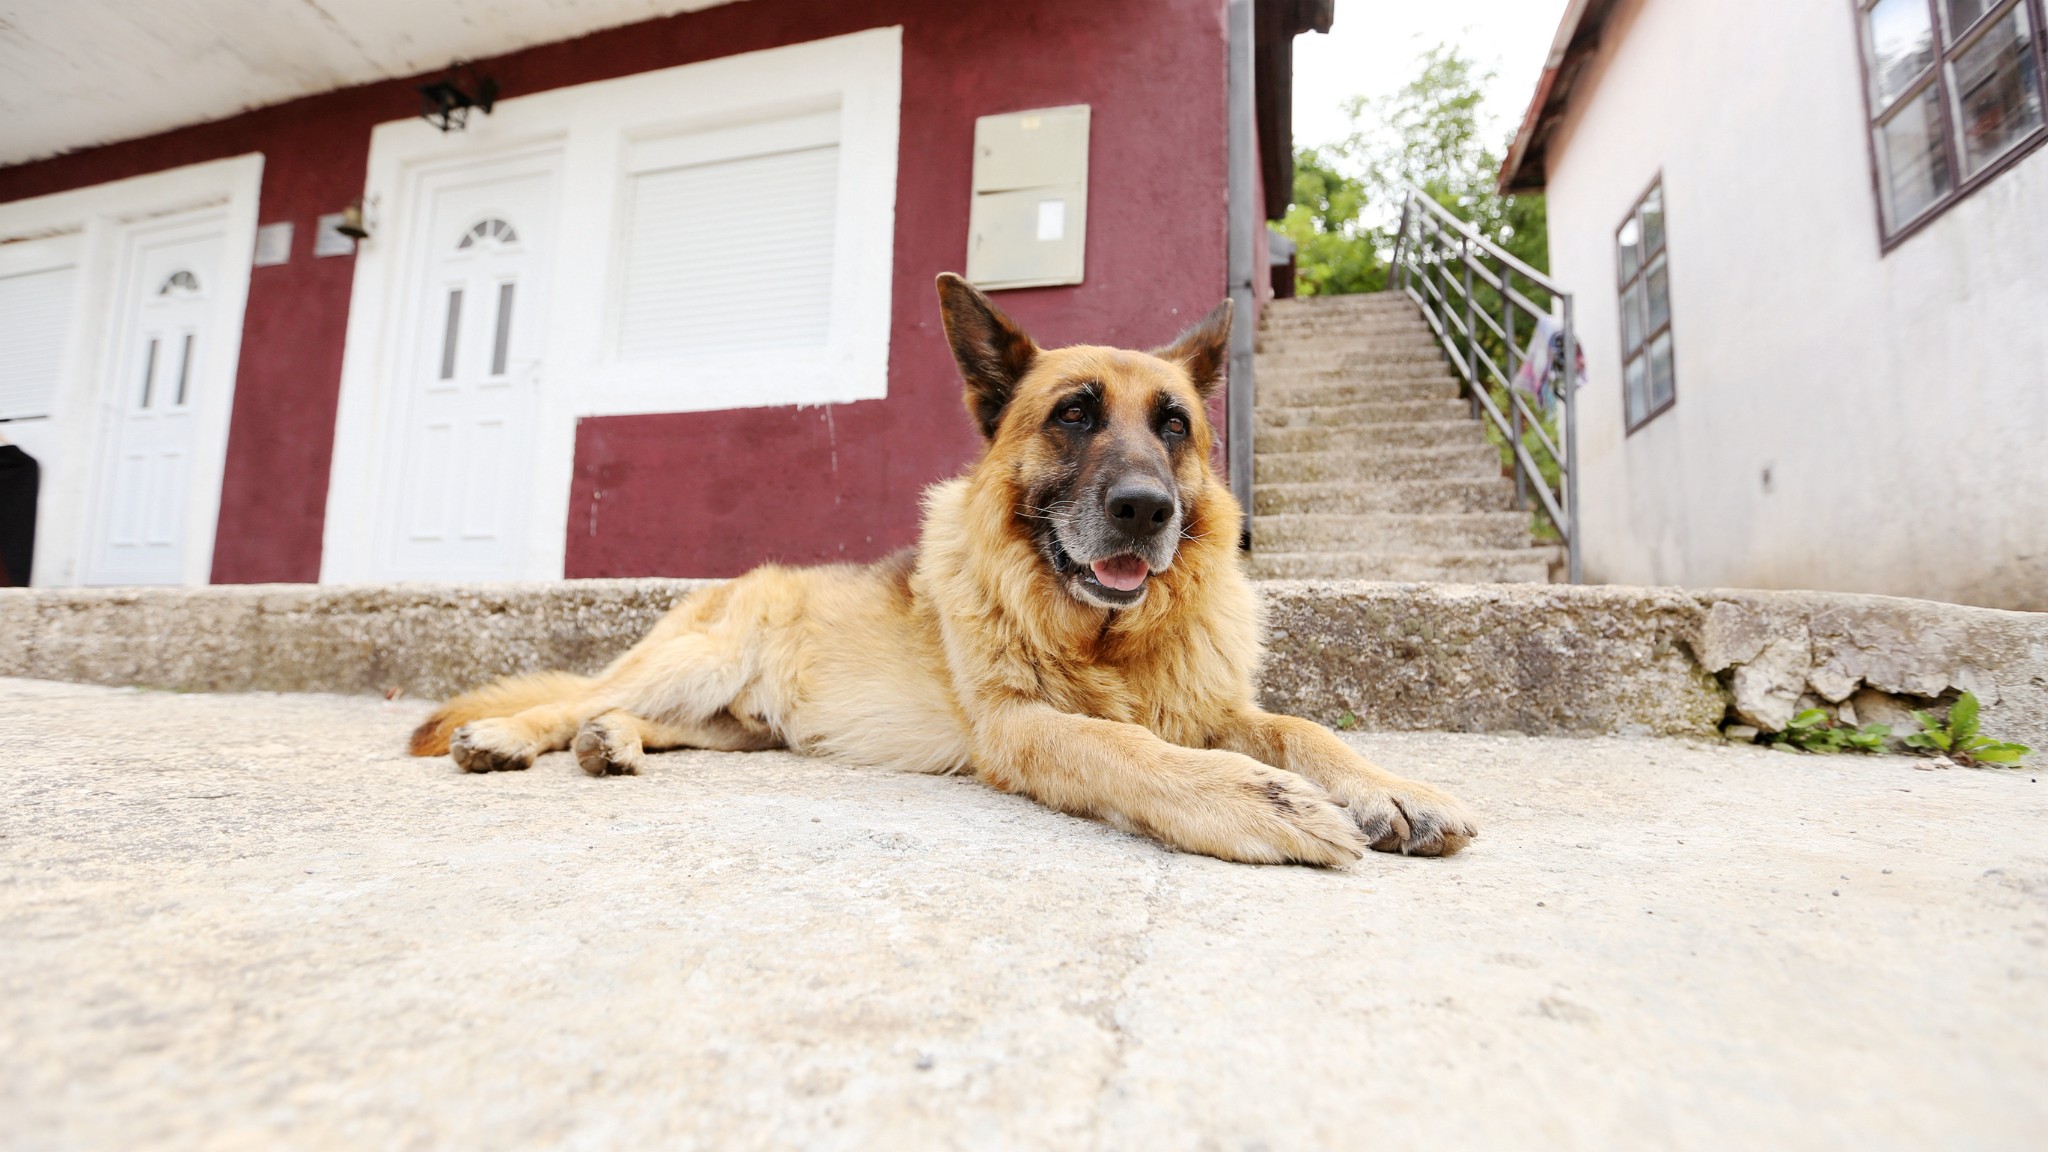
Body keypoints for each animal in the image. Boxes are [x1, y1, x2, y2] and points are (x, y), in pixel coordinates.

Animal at [415, 272, 1474, 856]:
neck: (1108, 640)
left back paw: (617, 742)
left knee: (647, 721)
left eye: (1174, 425)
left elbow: (1303, 728)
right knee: (571, 699)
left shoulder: (1211, 706)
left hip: (737, 723)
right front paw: (1253, 802)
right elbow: (1129, 749)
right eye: (1074, 413)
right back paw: (511, 735)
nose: (1146, 511)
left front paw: (1391, 786)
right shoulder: (1025, 727)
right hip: (698, 659)